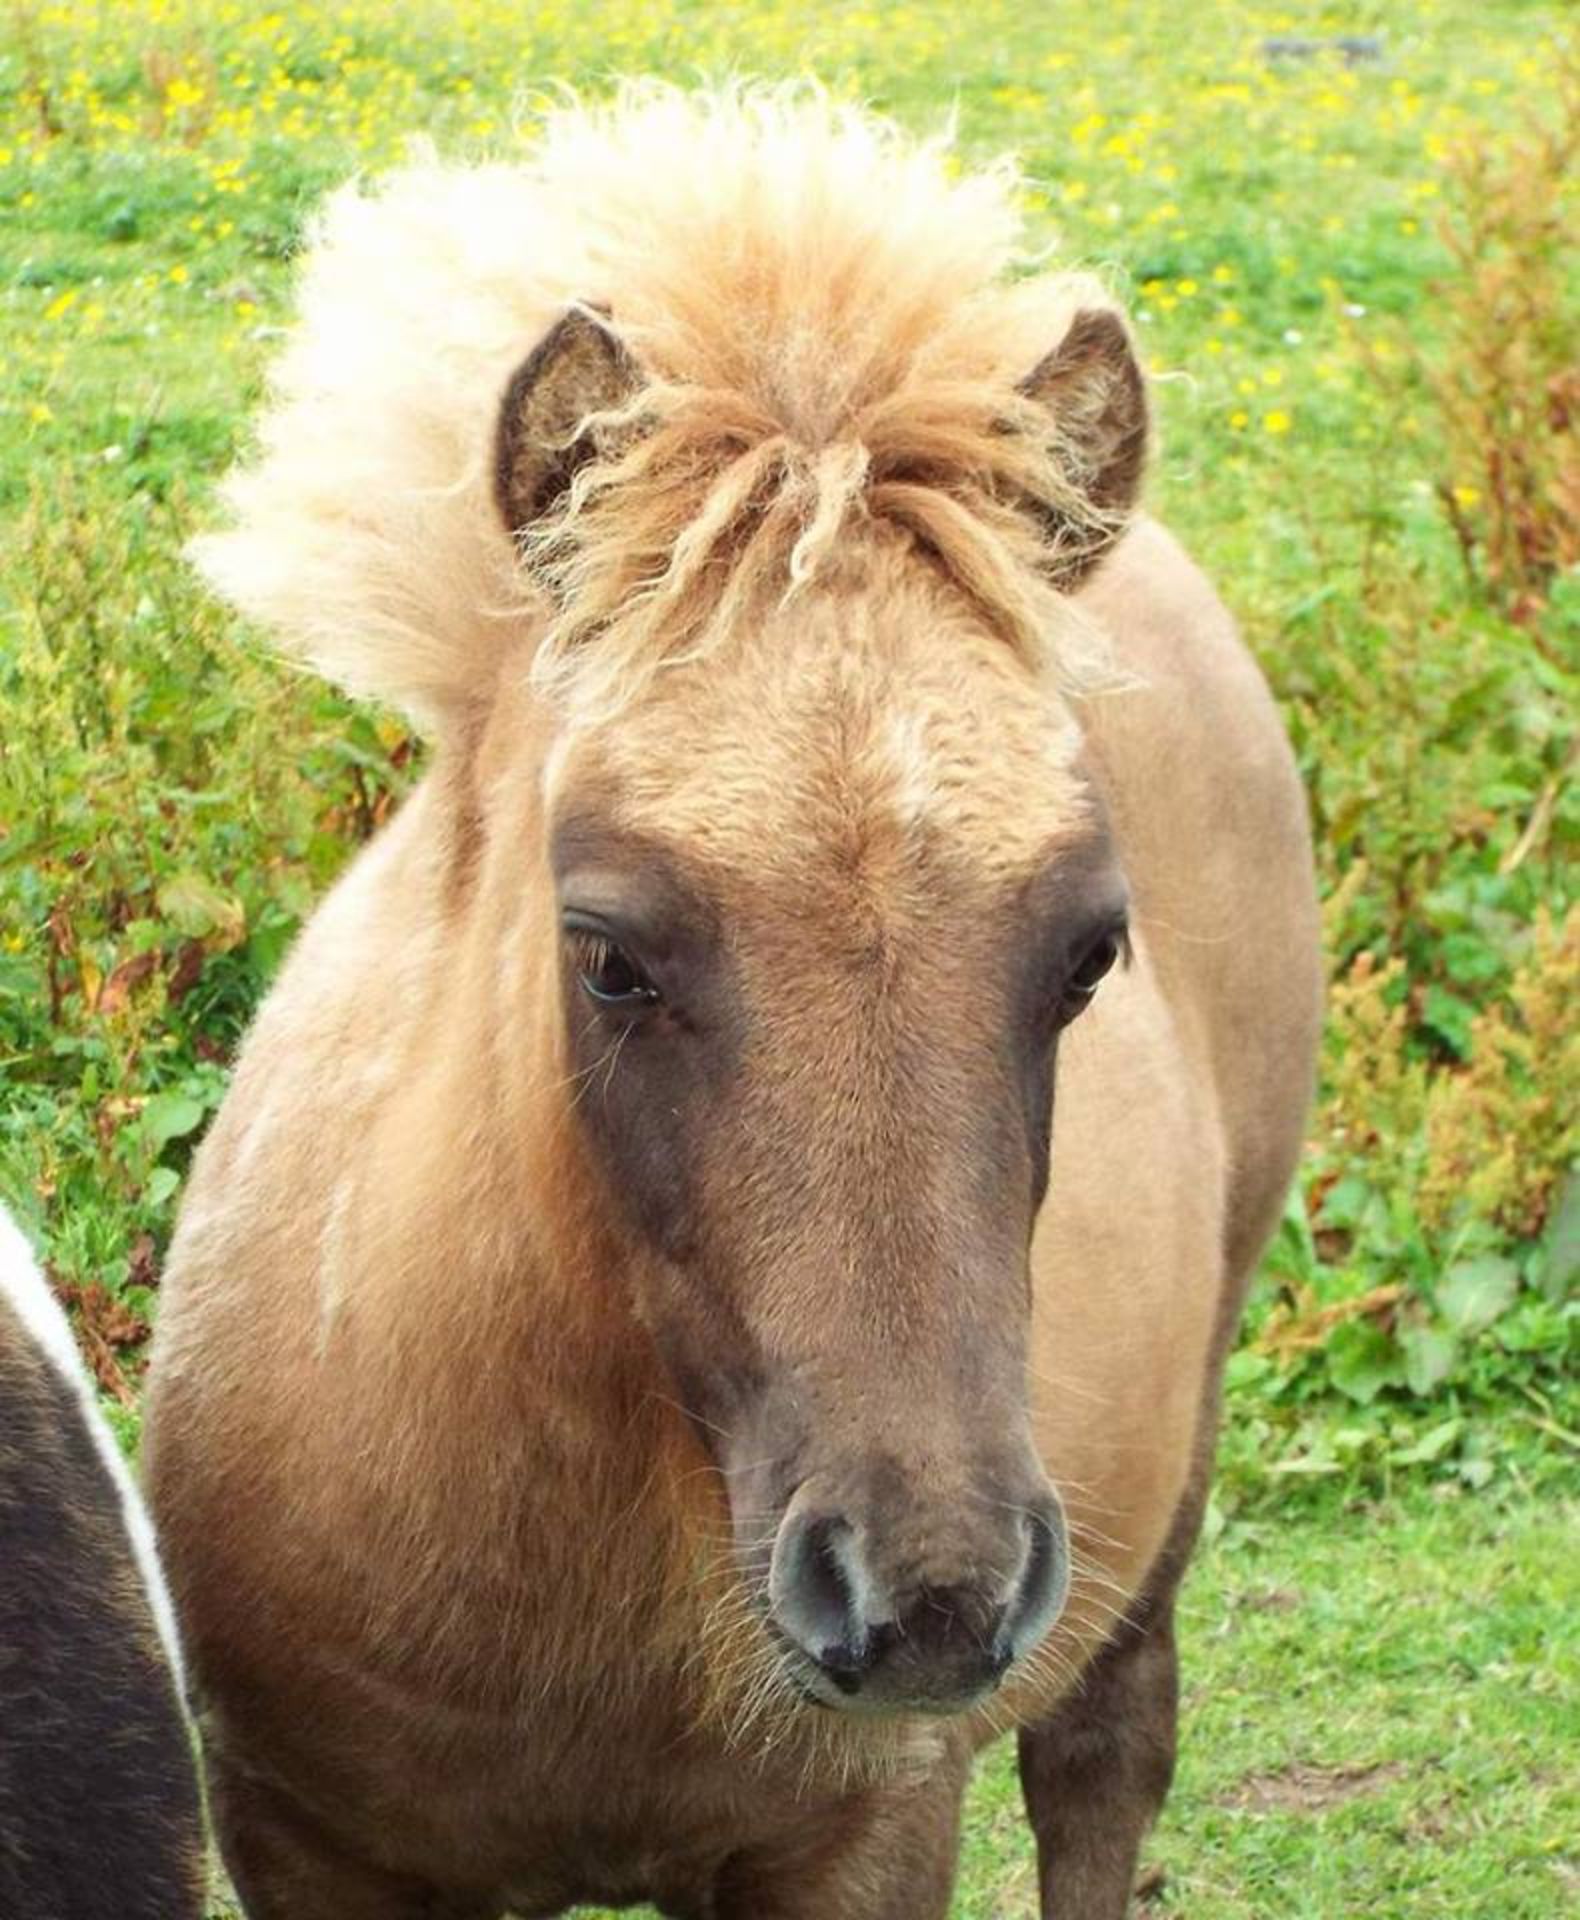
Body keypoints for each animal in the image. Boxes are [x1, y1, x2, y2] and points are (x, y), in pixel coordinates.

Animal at [144, 90, 1320, 1920]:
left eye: (1086, 953)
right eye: (608, 950)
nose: (926, 1593)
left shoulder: (865, 1841)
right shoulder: (310, 1842)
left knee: (1106, 1757)